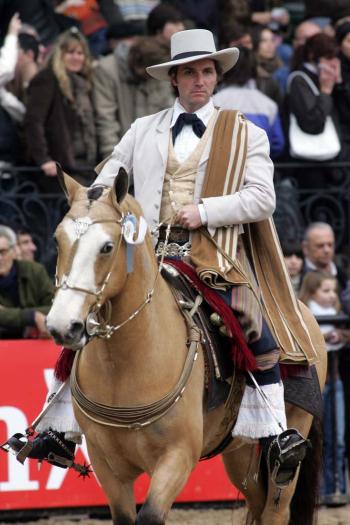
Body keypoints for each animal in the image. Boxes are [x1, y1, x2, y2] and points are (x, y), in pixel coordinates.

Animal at [46, 169, 328, 524]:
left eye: (107, 246)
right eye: (58, 240)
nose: (62, 325)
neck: (125, 365)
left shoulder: (178, 457)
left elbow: (151, 515)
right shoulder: (108, 466)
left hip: (287, 450)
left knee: (275, 509)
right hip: (241, 452)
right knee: (256, 500)